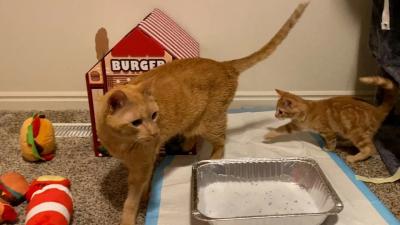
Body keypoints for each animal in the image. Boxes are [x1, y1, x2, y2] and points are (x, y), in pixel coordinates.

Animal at [95, 3, 308, 225]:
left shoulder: (142, 166)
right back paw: (186, 144)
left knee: (221, 142)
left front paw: (132, 212)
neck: (122, 143)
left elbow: (132, 199)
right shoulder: (137, 163)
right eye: (136, 122)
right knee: (193, 133)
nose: (155, 133)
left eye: (154, 115)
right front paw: (146, 194)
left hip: (211, 122)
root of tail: (224, 64)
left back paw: (213, 159)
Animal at [264, 76, 398, 163]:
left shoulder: (328, 131)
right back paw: (343, 143)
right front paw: (270, 134)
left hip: (357, 133)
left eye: (280, 111)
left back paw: (353, 158)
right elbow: (282, 129)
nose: (275, 115)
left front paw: (329, 148)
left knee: (370, 149)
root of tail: (376, 110)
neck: (307, 111)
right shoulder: (296, 125)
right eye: (276, 110)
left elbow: (331, 141)